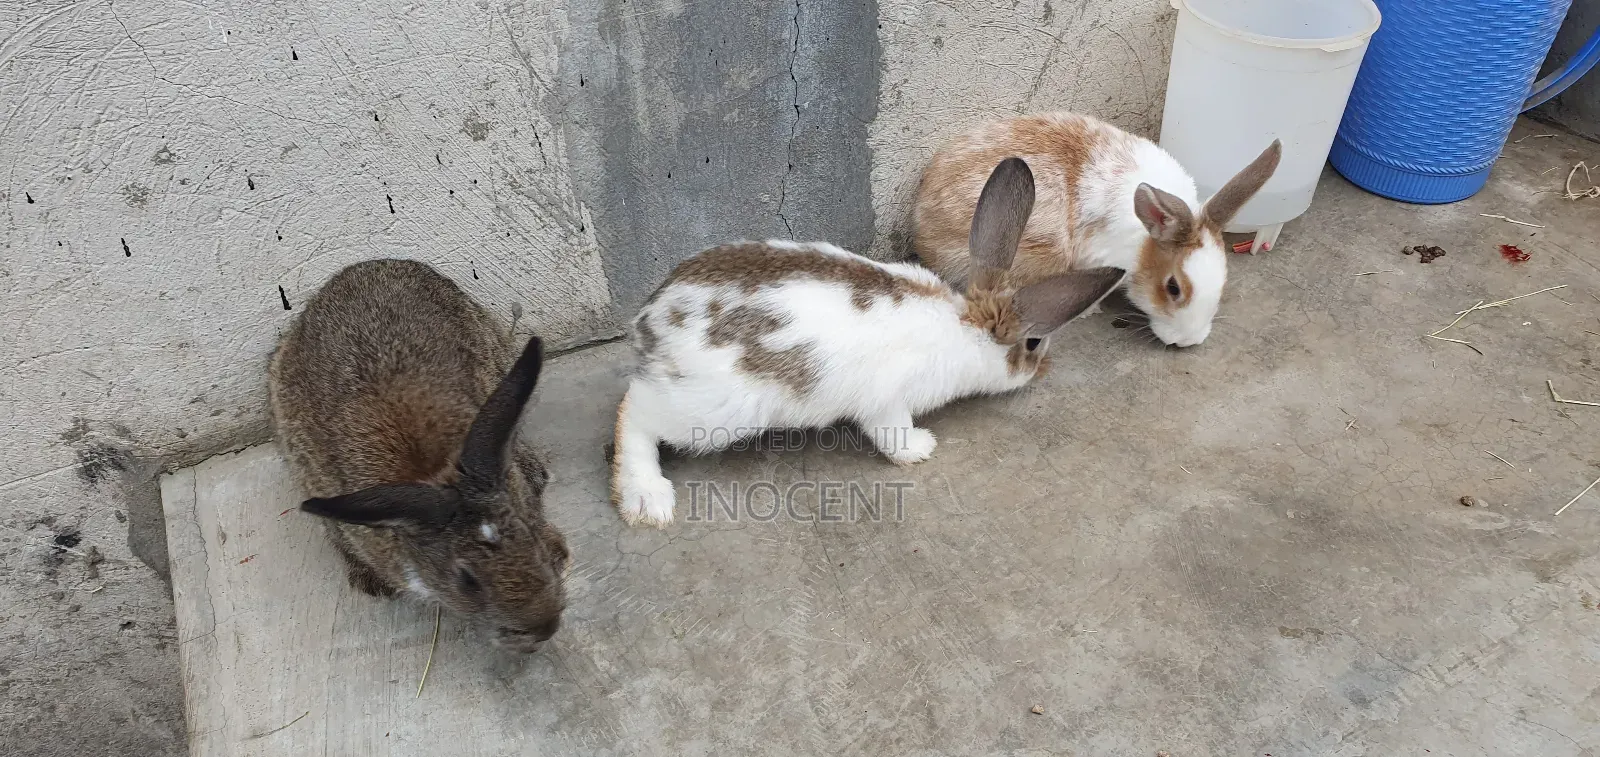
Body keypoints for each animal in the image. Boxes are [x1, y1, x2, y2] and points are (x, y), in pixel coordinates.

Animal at [611, 158, 1124, 527]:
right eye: (1033, 343)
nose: (1043, 370)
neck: (964, 328)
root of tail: (652, 319)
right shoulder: (888, 401)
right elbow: (892, 435)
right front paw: (921, 448)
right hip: (712, 411)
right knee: (634, 414)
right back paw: (648, 500)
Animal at [912, 112, 1281, 348]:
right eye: (1173, 288)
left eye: (1224, 279)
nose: (1189, 341)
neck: (1142, 240)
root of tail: (920, 219)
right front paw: (1092, 309)